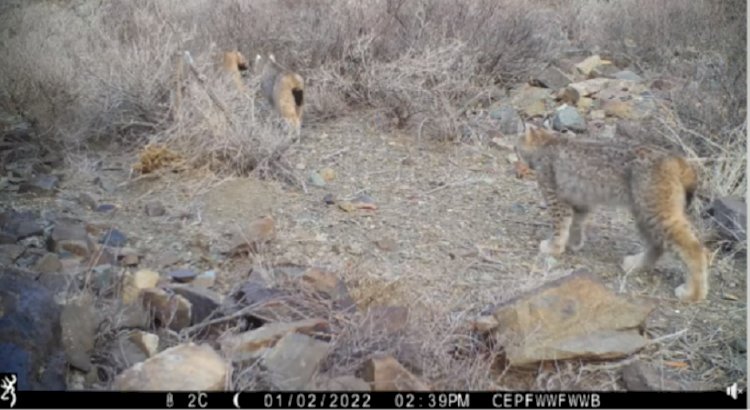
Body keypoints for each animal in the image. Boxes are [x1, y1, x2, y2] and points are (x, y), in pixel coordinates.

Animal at [516, 126, 712, 302]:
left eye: (517, 144)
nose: (516, 159)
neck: (547, 140)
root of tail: (677, 158)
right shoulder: (580, 201)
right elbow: (577, 223)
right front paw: (574, 243)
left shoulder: (555, 197)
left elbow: (560, 225)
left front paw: (553, 247)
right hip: (643, 210)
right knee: (657, 244)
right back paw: (635, 264)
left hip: (655, 210)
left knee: (694, 248)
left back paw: (693, 294)